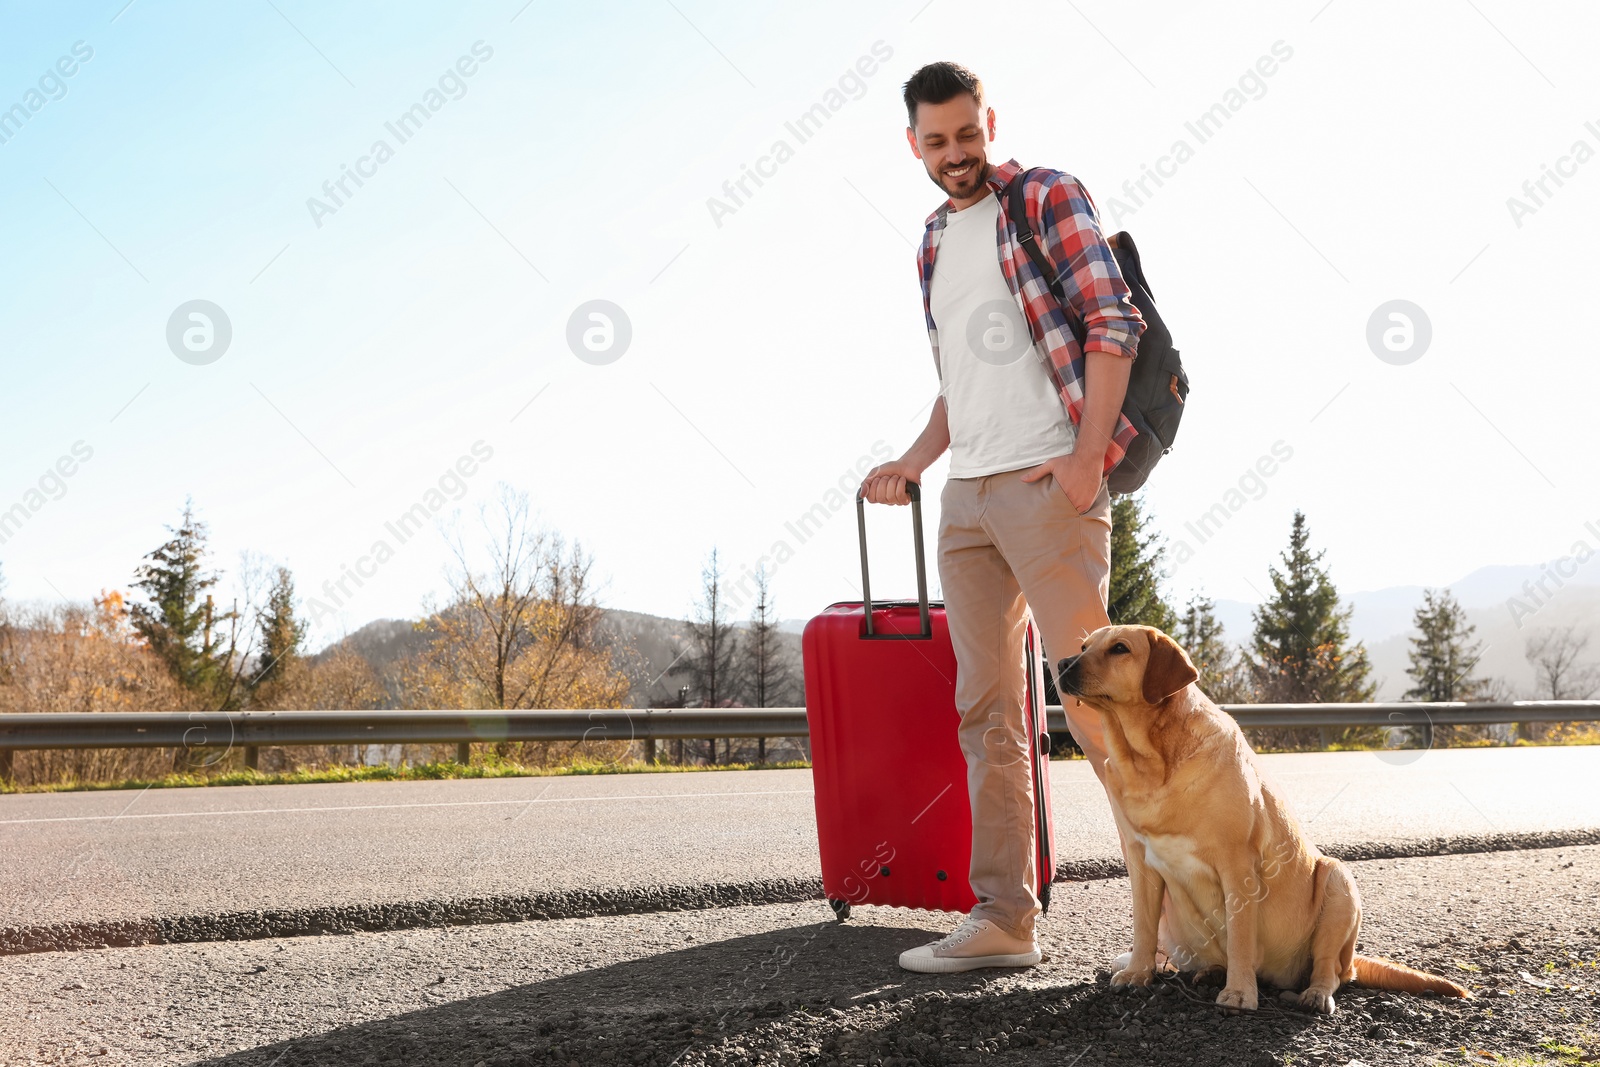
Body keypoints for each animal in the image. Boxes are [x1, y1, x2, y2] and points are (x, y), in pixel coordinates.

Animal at [1056, 620, 1465, 1017]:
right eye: (1084, 646)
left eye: (1119, 648)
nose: (1061, 665)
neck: (1153, 763)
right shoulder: (1140, 862)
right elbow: (1143, 926)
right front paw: (1138, 972)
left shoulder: (1238, 865)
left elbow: (1240, 937)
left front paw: (1239, 993)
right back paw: (1209, 971)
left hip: (1338, 880)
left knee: (1330, 969)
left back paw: (1314, 993)